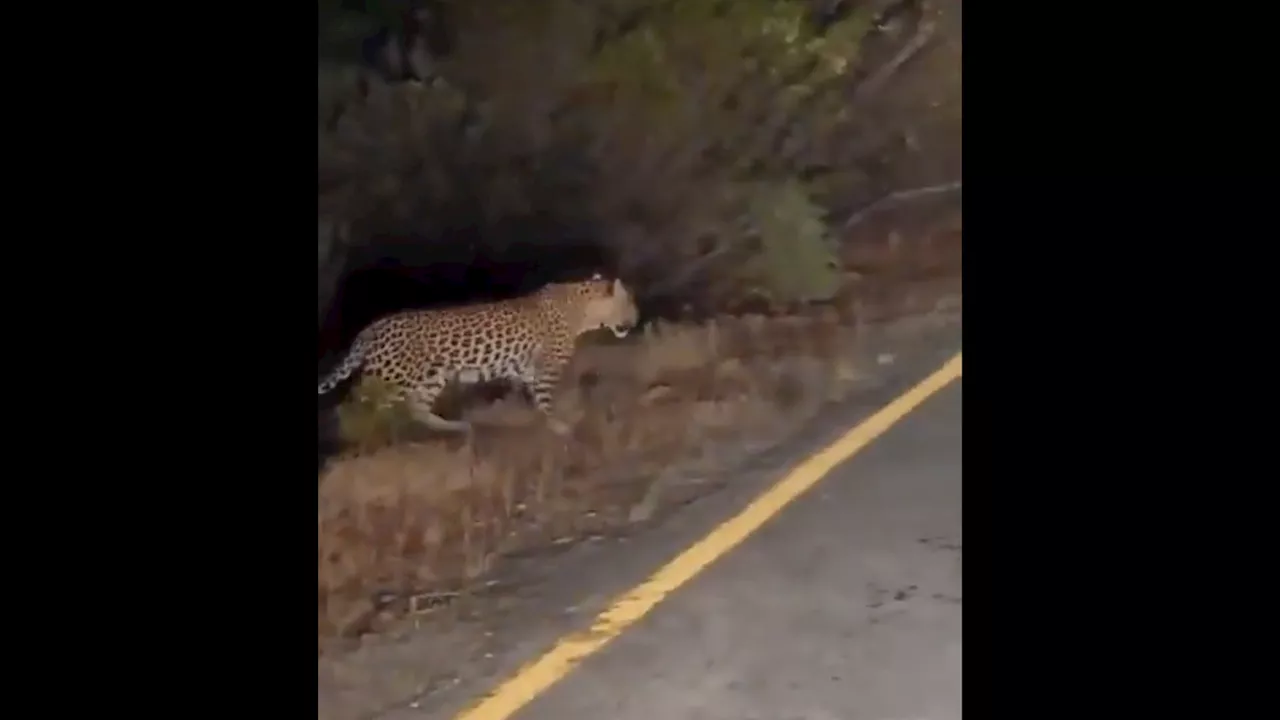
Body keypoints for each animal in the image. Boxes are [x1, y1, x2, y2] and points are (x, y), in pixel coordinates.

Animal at [317, 272, 637, 430]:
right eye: (629, 303)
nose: (636, 318)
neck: (583, 310)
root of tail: (371, 327)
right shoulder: (548, 368)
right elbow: (548, 399)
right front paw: (560, 423)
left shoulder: (527, 369)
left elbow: (535, 396)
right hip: (390, 379)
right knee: (355, 407)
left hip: (431, 378)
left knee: (416, 409)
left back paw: (455, 427)